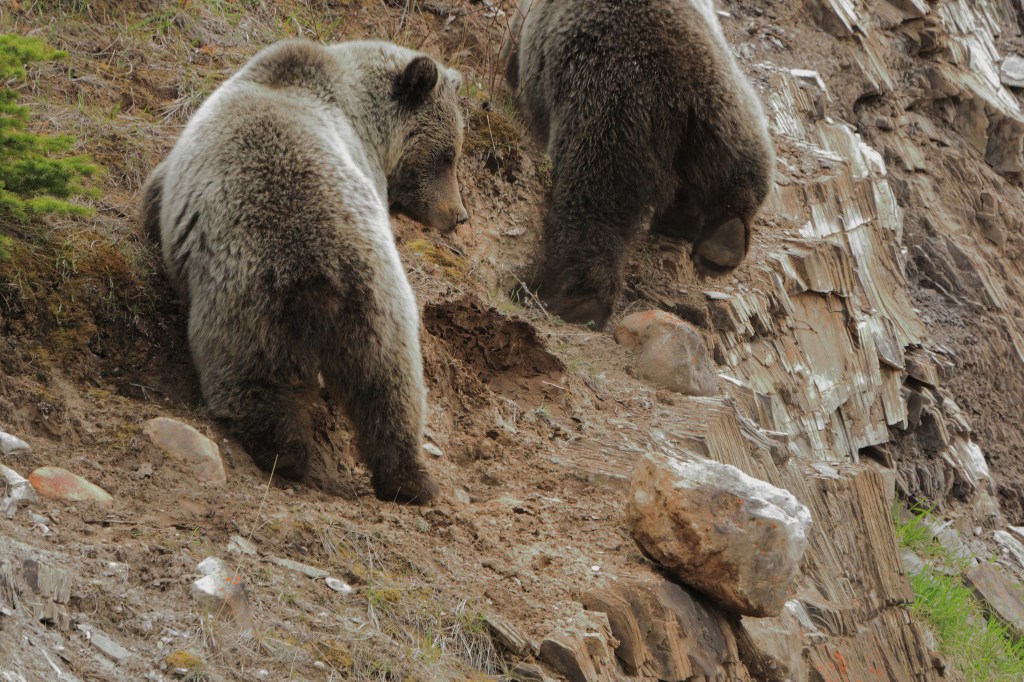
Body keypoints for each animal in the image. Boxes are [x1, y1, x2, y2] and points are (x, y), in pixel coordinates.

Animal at [141, 39, 468, 504]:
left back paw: (285, 450)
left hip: (248, 292)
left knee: (254, 372)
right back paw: (408, 479)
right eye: (447, 155)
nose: (458, 216)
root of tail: (327, 265)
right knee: (390, 383)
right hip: (382, 306)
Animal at [501, 0, 775, 329]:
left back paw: (575, 299)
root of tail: (681, 85)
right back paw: (720, 240)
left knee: (593, 201)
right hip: (726, 112)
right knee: (742, 168)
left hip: (610, 109)